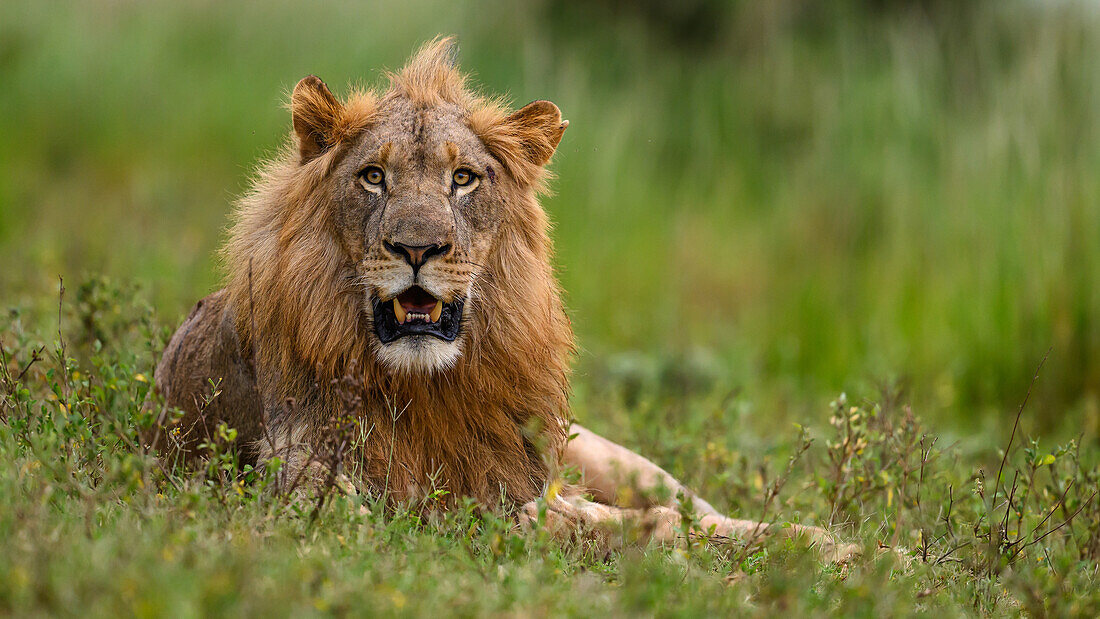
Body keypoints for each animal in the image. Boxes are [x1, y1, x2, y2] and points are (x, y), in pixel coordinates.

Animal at [148, 37, 849, 562]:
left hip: (601, 452)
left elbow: (612, 517)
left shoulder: (521, 476)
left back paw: (841, 545)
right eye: (373, 176)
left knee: (698, 507)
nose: (418, 248)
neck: (425, 388)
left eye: (463, 178)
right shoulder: (307, 486)